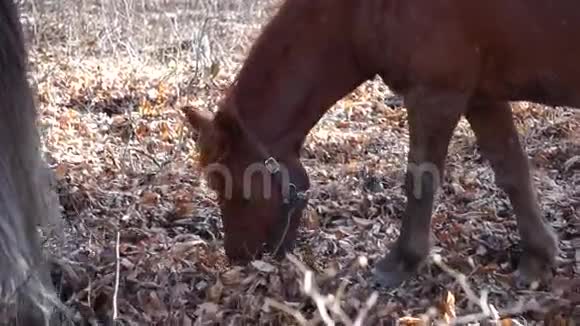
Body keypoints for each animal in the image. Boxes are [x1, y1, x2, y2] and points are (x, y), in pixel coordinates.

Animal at [184, 0, 576, 288]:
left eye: (233, 188)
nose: (239, 257)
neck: (359, 12)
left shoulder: (435, 95)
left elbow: (420, 180)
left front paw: (402, 261)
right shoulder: (481, 97)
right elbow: (512, 171)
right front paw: (538, 258)